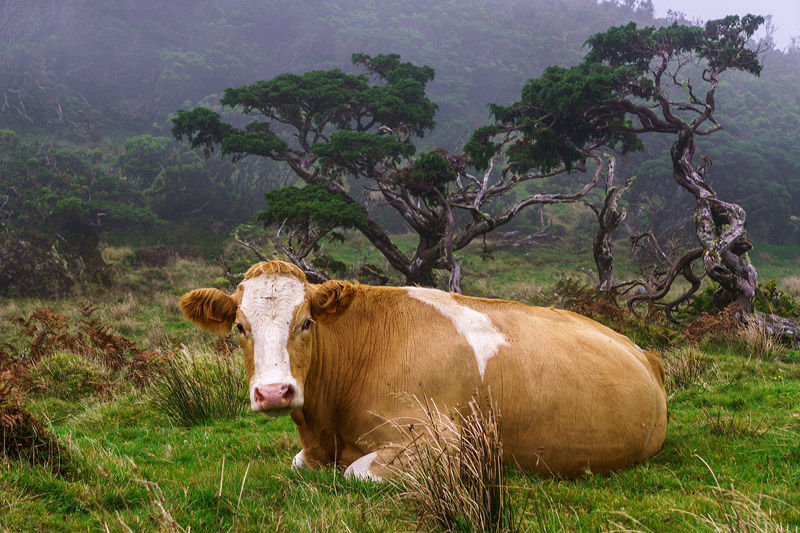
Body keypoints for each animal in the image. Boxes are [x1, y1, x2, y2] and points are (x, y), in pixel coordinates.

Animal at [181, 260, 668, 480]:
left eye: (306, 322)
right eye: (240, 327)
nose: (274, 392)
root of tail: (643, 352)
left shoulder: (451, 442)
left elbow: (357, 472)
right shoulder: (312, 451)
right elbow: (300, 463)